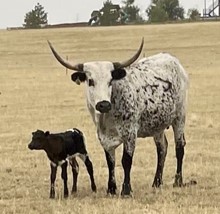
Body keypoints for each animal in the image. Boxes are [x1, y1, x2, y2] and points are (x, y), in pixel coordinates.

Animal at [47, 39, 189, 196]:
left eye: (110, 81)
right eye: (90, 81)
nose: (103, 104)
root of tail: (171, 58)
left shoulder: (130, 133)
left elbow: (126, 161)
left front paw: (126, 190)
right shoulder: (104, 138)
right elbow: (111, 162)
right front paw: (111, 188)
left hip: (179, 117)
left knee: (179, 147)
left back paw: (178, 180)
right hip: (157, 125)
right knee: (162, 148)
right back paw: (157, 182)